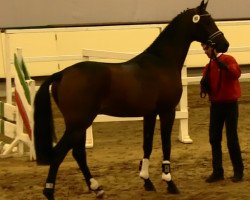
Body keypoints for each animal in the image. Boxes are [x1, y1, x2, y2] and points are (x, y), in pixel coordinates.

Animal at [33, 0, 229, 199]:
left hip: (78, 125)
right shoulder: (167, 112)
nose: (224, 44)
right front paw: (169, 182)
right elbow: (166, 145)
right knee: (60, 153)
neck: (162, 62)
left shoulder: (150, 114)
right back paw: (50, 191)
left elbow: (147, 145)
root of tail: (62, 73)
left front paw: (147, 181)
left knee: (78, 153)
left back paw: (97, 188)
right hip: (79, 123)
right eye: (207, 22)